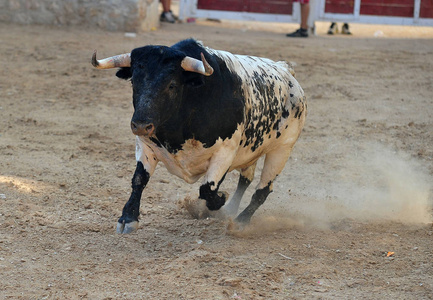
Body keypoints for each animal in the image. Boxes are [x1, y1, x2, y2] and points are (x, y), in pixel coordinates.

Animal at [92, 38, 308, 234]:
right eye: (134, 81)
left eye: (172, 85)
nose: (141, 125)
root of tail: (287, 71)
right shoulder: (145, 145)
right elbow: (139, 179)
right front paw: (128, 218)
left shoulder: (225, 152)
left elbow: (208, 190)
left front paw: (220, 199)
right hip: (251, 151)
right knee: (245, 180)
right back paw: (231, 210)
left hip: (281, 150)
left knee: (262, 190)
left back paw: (240, 221)